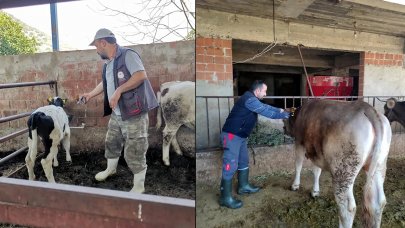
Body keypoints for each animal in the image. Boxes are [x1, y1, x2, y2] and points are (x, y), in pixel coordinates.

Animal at [282, 99, 390, 228]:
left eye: (284, 120)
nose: (283, 128)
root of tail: (367, 107)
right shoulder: (316, 152)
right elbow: (316, 171)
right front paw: (315, 191)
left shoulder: (299, 143)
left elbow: (298, 165)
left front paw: (295, 185)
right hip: (379, 166)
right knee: (378, 202)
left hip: (343, 171)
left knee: (347, 208)